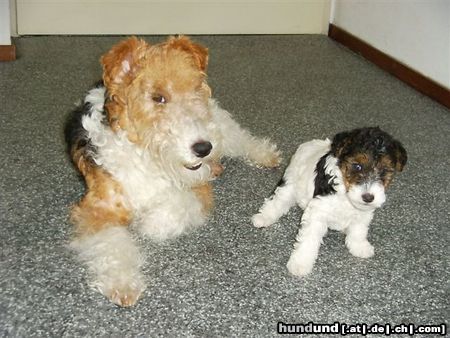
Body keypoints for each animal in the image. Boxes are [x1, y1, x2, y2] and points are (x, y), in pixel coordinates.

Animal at [64, 36, 280, 306]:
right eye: (158, 97)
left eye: (196, 88)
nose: (203, 148)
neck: (146, 156)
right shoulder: (97, 209)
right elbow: (112, 245)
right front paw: (123, 284)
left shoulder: (197, 190)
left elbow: (169, 213)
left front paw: (146, 224)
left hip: (221, 126)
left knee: (243, 139)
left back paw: (265, 155)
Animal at [253, 127, 408, 278]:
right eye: (357, 166)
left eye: (384, 170)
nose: (368, 197)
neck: (345, 193)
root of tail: (308, 144)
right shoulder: (318, 212)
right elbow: (308, 239)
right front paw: (300, 264)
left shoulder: (363, 213)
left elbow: (359, 231)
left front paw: (359, 247)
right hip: (290, 184)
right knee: (277, 201)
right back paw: (263, 217)